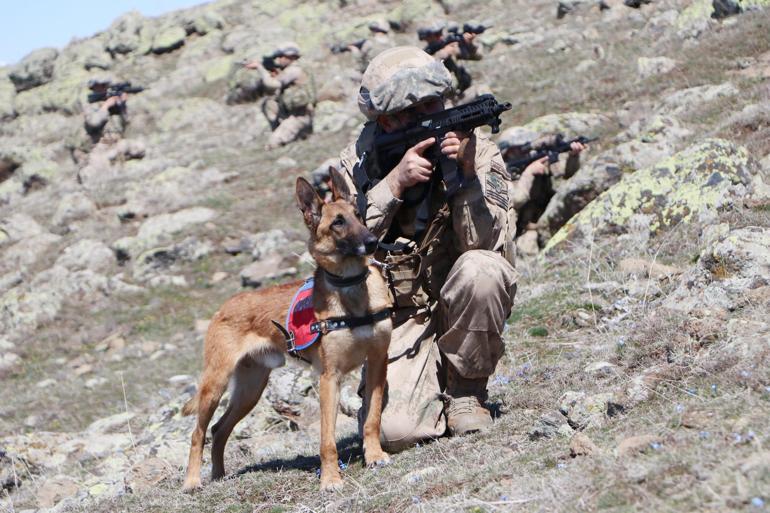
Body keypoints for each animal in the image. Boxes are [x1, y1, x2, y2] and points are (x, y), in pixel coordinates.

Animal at [180, 170, 390, 490]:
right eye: (338, 223)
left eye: (358, 215)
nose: (373, 242)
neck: (352, 289)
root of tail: (223, 307)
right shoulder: (329, 378)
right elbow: (327, 440)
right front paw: (330, 478)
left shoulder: (378, 363)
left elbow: (373, 418)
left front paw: (375, 455)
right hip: (215, 385)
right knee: (198, 433)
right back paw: (192, 481)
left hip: (250, 390)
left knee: (219, 429)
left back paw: (218, 475)